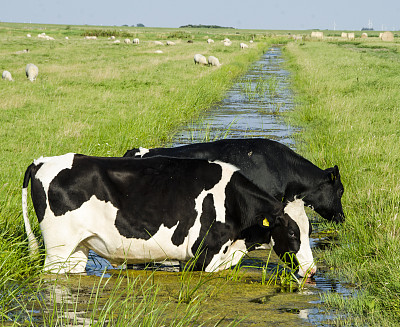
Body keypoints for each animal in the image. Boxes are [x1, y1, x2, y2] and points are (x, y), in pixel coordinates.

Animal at [21, 154, 316, 276]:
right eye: (292, 232)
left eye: (309, 230)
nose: (312, 271)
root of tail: (42, 161)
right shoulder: (204, 256)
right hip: (57, 247)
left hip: (77, 248)